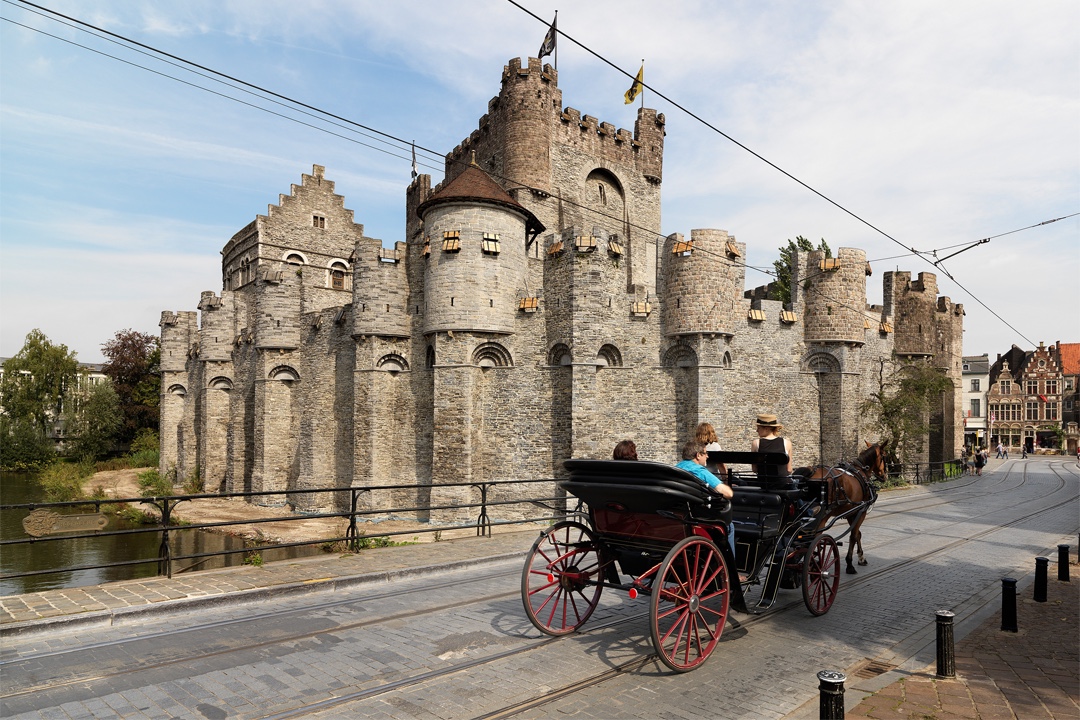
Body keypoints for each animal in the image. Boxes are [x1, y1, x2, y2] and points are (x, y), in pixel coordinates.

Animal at [812, 440, 885, 574]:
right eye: (884, 456)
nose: (884, 476)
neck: (860, 470)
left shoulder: (851, 513)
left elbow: (857, 534)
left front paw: (861, 557)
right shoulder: (861, 511)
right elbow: (854, 535)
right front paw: (850, 563)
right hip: (822, 518)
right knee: (815, 541)